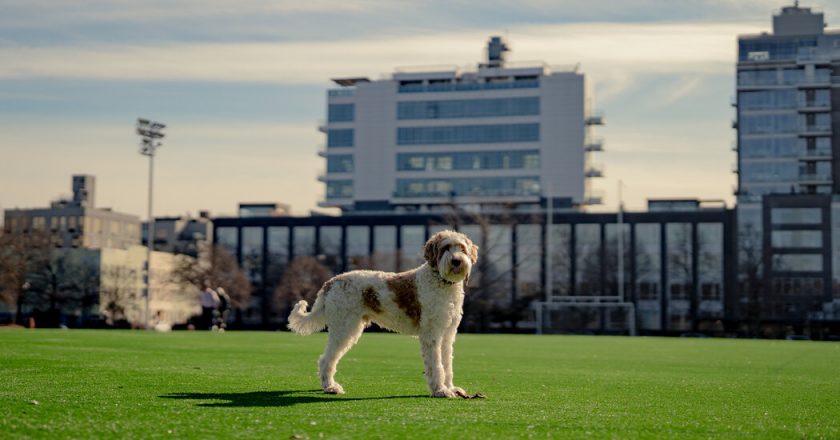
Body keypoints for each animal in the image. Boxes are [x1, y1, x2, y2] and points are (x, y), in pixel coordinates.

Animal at [288, 230, 476, 398]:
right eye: (445, 248)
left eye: (462, 248)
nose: (456, 261)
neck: (441, 282)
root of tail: (332, 282)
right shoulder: (432, 334)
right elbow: (437, 365)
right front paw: (440, 391)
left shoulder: (447, 333)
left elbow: (447, 363)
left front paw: (451, 388)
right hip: (344, 328)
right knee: (326, 359)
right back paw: (330, 387)